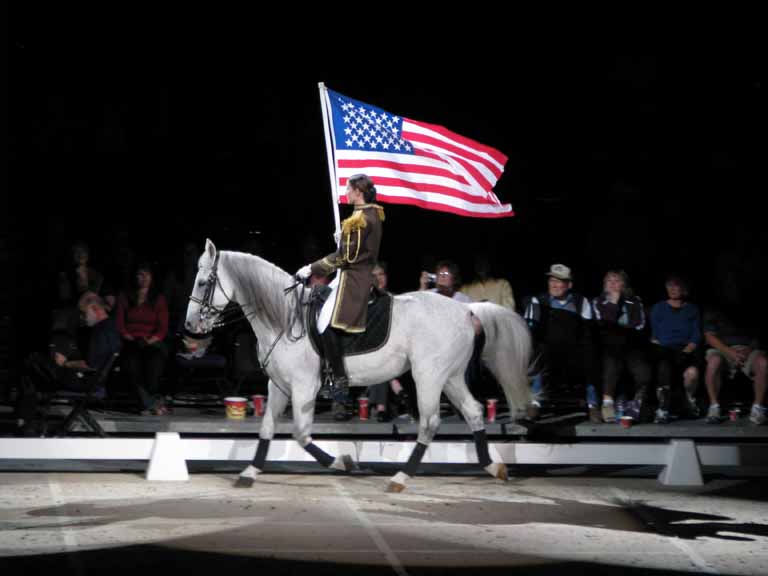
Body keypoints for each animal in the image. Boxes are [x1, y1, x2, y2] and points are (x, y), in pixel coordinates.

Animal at [187, 238, 536, 490]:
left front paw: (343, 462)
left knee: (430, 423)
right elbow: (267, 428)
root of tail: (466, 310)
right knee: (474, 412)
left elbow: (301, 434)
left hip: (428, 376)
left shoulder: (303, 387)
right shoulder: (279, 386)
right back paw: (494, 467)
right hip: (450, 377)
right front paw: (249, 472)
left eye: (204, 282)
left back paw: (400, 478)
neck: (284, 318)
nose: (190, 328)